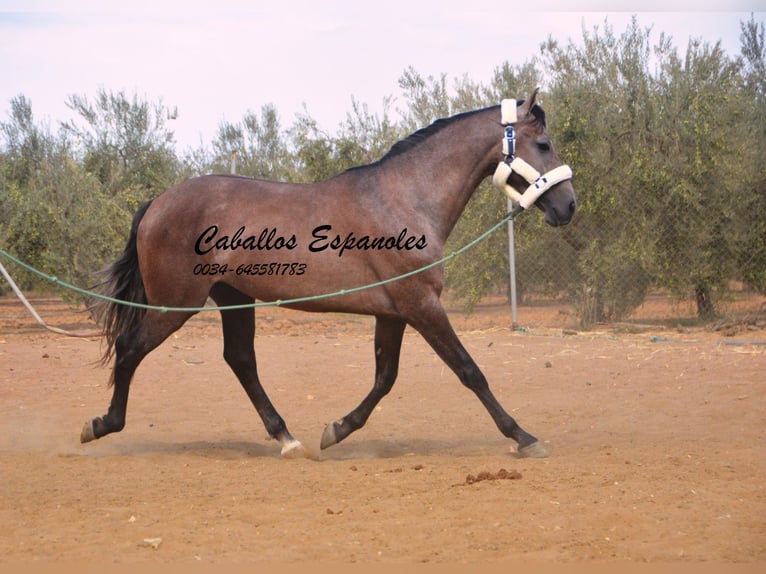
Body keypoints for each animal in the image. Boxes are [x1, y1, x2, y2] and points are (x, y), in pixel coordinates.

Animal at [84, 89, 576, 460]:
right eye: (544, 144)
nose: (568, 206)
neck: (405, 198)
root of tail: (157, 203)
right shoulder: (421, 305)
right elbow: (469, 370)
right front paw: (524, 437)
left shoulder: (394, 312)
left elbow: (384, 378)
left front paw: (337, 429)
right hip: (176, 303)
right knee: (129, 348)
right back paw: (102, 424)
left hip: (233, 297)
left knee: (240, 360)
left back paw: (287, 439)